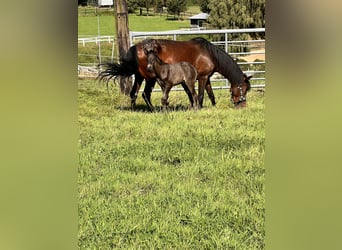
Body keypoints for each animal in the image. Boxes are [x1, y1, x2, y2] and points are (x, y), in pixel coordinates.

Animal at [99, 37, 251, 110]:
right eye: (244, 89)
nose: (243, 106)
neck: (209, 54)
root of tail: (136, 47)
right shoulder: (202, 77)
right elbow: (200, 95)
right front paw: (199, 107)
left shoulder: (205, 78)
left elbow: (210, 94)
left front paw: (212, 107)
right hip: (150, 78)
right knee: (145, 94)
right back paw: (153, 109)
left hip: (139, 77)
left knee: (134, 94)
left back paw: (134, 109)